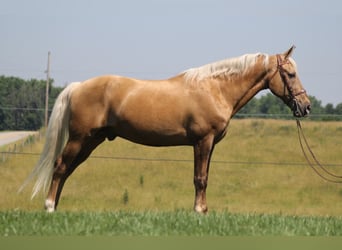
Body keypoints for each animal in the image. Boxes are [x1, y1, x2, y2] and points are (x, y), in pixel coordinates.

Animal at [20, 45, 310, 213]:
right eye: (291, 74)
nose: (305, 106)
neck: (214, 88)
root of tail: (78, 86)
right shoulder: (202, 141)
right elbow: (199, 179)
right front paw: (199, 212)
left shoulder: (210, 144)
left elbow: (205, 178)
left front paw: (203, 210)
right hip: (80, 139)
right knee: (60, 167)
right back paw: (49, 206)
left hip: (91, 141)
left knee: (67, 170)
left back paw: (55, 208)